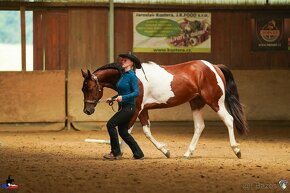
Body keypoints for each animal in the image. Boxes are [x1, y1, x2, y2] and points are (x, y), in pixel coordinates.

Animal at [80, 60, 248, 158]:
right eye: (83, 88)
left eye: (89, 88)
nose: (87, 111)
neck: (130, 76)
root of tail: (214, 67)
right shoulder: (142, 110)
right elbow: (145, 131)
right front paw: (165, 151)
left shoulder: (136, 109)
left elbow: (126, 130)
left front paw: (119, 153)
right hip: (196, 103)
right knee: (200, 126)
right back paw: (187, 153)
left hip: (215, 101)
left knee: (229, 120)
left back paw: (237, 150)